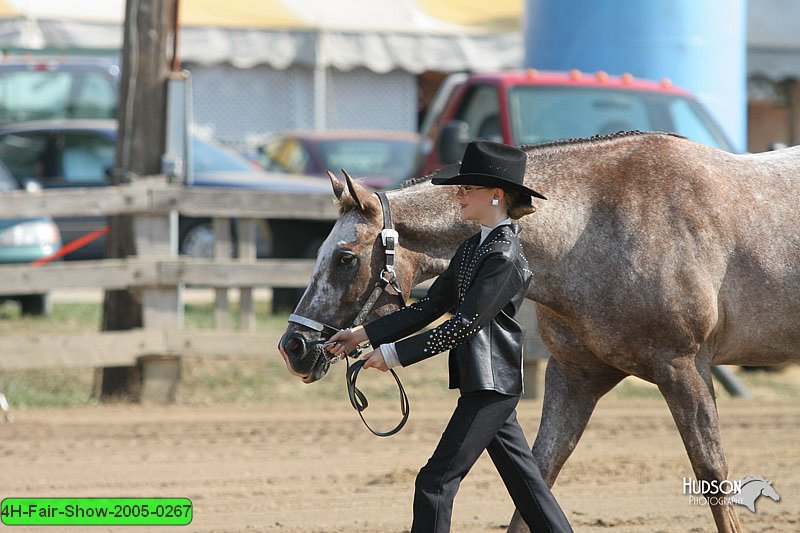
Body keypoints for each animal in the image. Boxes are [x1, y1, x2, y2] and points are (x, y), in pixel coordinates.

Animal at [280, 130, 800, 532]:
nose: (294, 347)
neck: (599, 224)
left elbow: (712, 474)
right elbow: (540, 472)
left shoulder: (683, 367)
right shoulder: (576, 374)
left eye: (345, 258)